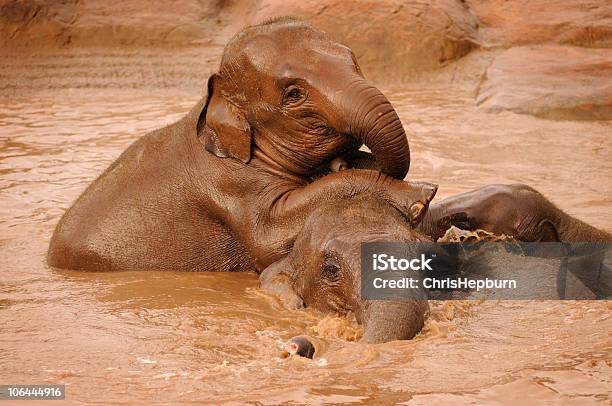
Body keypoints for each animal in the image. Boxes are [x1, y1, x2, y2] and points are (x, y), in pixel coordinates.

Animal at [49, 18, 440, 272]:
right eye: (293, 94)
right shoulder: (228, 183)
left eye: (353, 60)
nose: (342, 159)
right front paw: (422, 194)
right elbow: (270, 235)